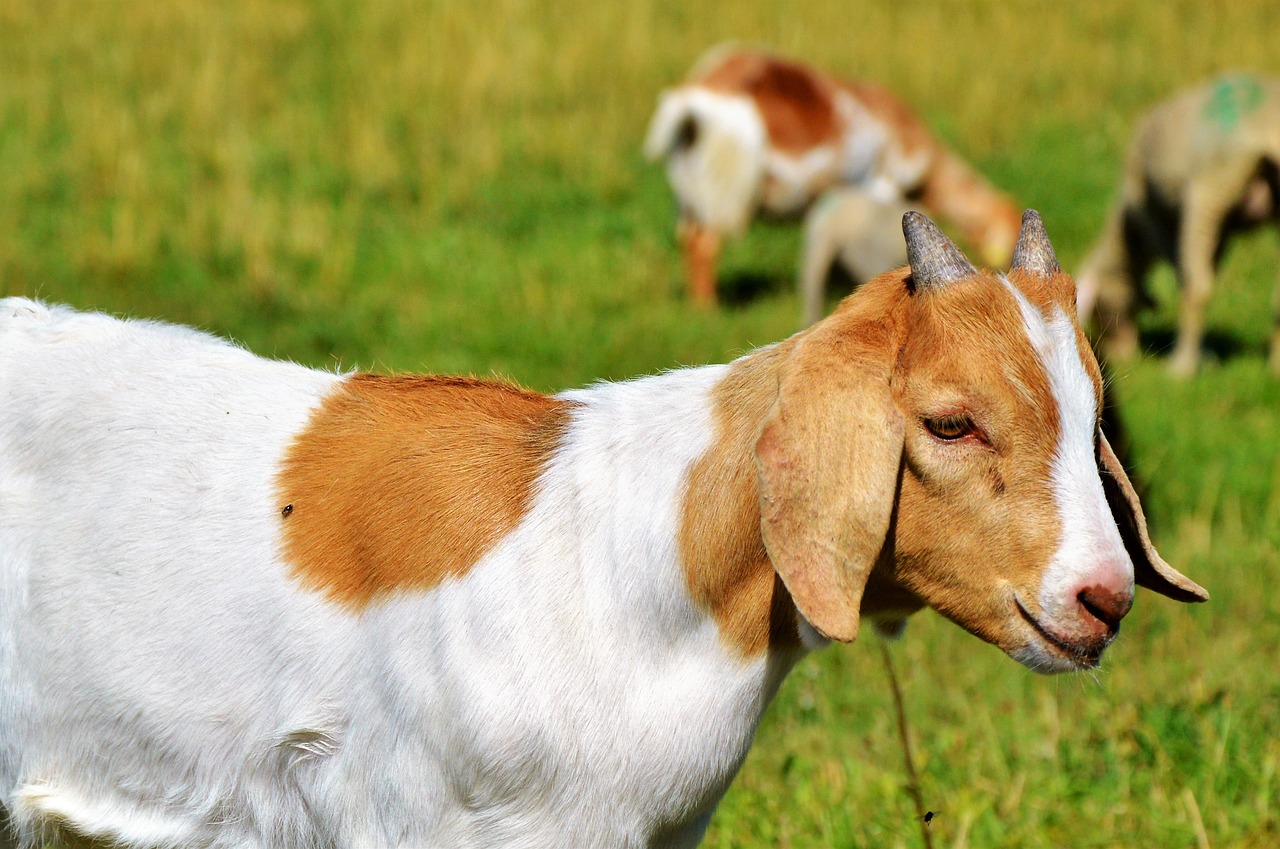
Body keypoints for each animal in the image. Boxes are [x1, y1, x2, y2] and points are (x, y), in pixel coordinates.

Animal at [645, 43, 1024, 308]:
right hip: (724, 188)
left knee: (688, 238)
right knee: (705, 244)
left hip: (690, 189)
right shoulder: (881, 182)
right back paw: (708, 308)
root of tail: (693, 99)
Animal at [1080, 73, 1280, 376]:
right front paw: (1208, 355)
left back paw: (1181, 366)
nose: (1122, 355)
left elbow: (1182, 272)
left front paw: (1202, 356)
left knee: (1197, 285)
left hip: (1211, 186)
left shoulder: (1152, 219)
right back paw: (1275, 365)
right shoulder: (1222, 232)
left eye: (1099, 308)